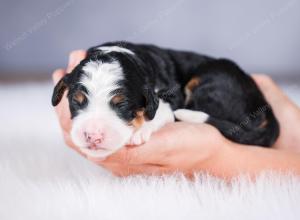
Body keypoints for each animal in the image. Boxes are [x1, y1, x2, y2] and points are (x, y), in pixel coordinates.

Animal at [51, 41, 278, 158]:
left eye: (122, 104)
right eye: (76, 101)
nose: (92, 136)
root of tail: (265, 108)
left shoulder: (171, 98)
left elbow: (161, 111)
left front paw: (140, 131)